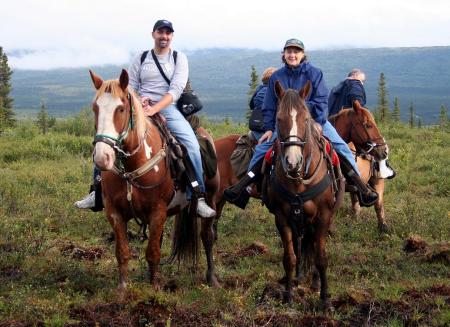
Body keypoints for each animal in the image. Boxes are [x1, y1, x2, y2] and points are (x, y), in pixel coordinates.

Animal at [88, 69, 220, 298]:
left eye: (121, 108)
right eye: (95, 107)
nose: (103, 158)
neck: (133, 166)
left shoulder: (157, 211)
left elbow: (153, 252)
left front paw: (155, 288)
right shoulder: (114, 212)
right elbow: (122, 251)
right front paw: (122, 290)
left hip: (210, 199)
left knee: (207, 236)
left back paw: (211, 278)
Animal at [262, 82, 342, 310]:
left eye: (306, 119)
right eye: (279, 119)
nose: (292, 162)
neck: (299, 179)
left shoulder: (323, 216)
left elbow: (321, 257)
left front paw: (325, 299)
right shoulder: (282, 218)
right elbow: (289, 257)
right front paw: (288, 295)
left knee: (314, 247)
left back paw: (315, 283)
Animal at [326, 101, 390, 232]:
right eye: (368, 125)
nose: (384, 151)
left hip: (377, 181)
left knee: (378, 204)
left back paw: (383, 227)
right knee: (355, 204)